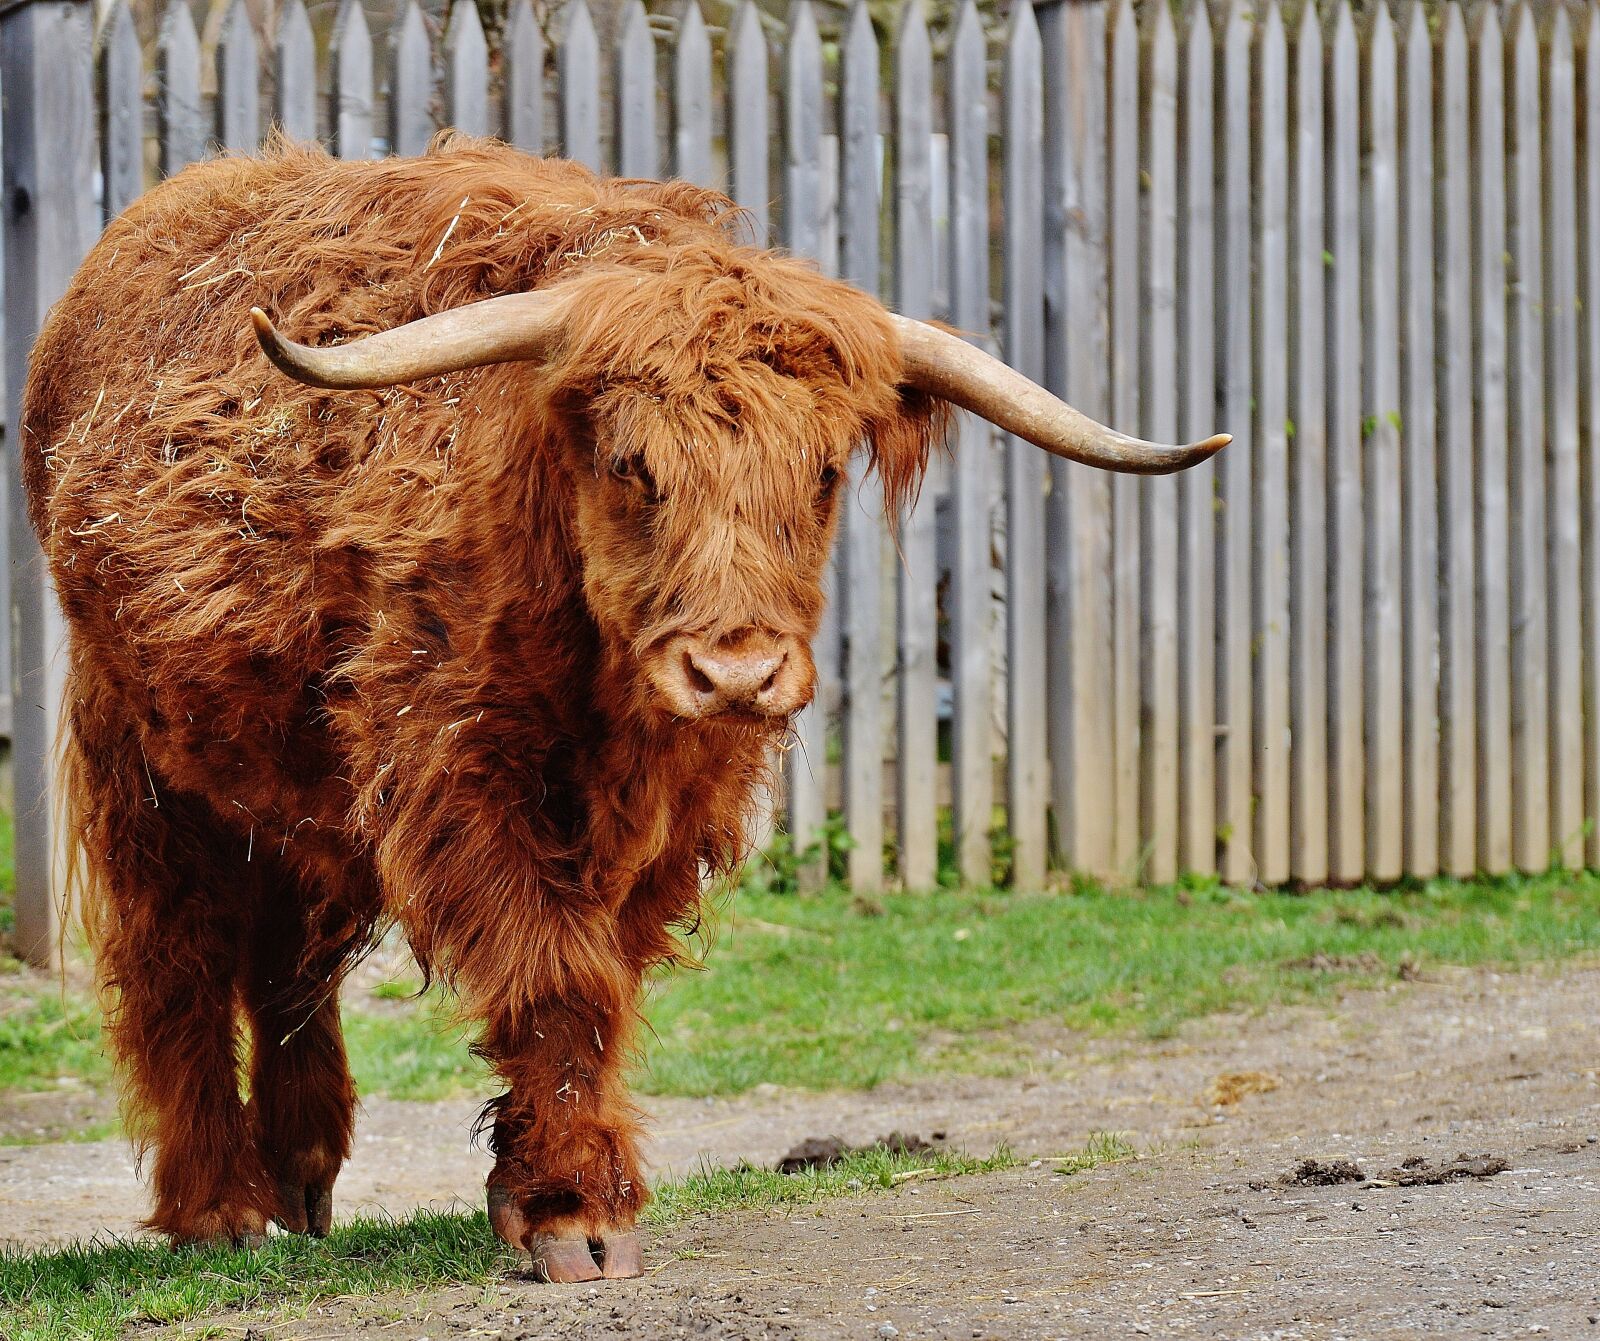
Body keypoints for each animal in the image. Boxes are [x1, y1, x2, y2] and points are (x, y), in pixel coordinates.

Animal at [21, 135, 1225, 1280]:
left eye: (823, 471)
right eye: (629, 464)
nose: (734, 674)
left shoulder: (666, 825)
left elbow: (599, 987)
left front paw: (538, 1192)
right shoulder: (460, 783)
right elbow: (554, 978)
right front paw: (573, 1216)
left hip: (278, 777)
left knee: (285, 960)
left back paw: (304, 1179)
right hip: (140, 758)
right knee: (176, 963)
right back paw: (218, 1212)